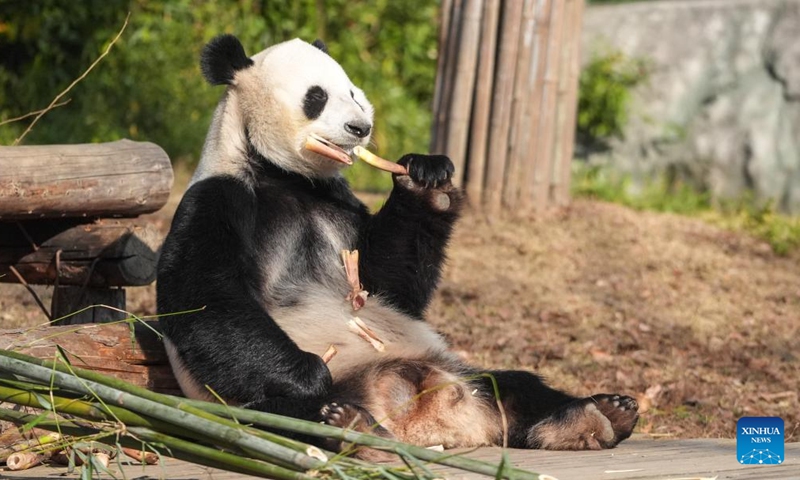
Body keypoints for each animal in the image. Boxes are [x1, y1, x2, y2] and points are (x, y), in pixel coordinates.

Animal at [157, 34, 639, 458]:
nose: (360, 127)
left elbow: (389, 286)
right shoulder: (219, 197)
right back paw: (350, 425)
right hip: (244, 403)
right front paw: (308, 373)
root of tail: (418, 418)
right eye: (317, 97)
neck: (285, 176)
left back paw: (598, 417)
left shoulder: (337, 202)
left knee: (515, 386)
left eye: (353, 92)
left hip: (455, 368)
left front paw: (427, 182)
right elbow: (205, 299)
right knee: (283, 414)